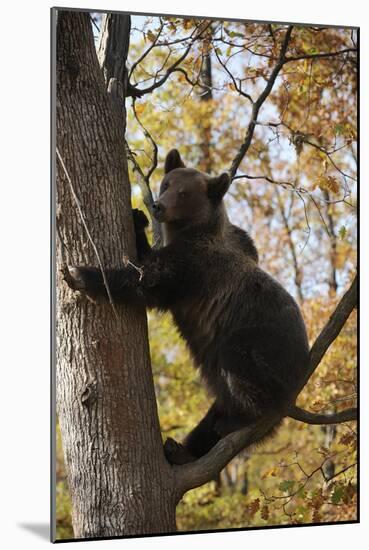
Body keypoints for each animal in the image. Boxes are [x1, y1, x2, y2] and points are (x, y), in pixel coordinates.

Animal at [67, 150, 310, 466]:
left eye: (184, 193)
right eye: (166, 184)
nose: (157, 206)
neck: (191, 231)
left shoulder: (194, 268)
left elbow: (146, 282)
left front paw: (81, 273)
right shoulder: (234, 243)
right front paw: (137, 219)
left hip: (260, 348)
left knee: (239, 371)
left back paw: (234, 422)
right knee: (212, 417)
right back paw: (180, 449)